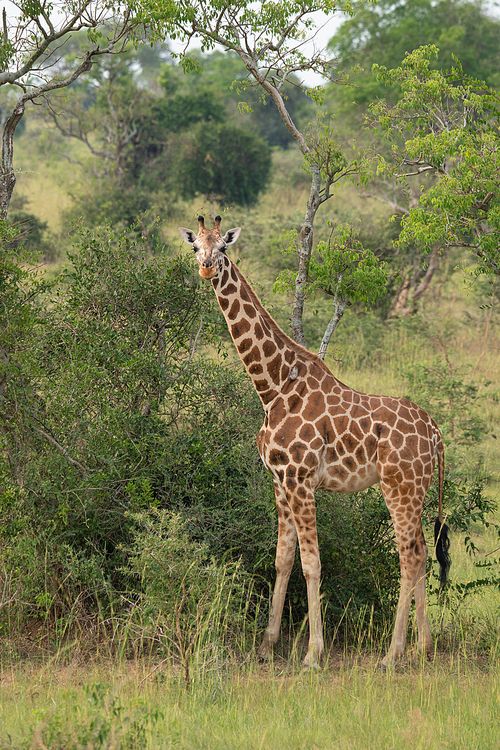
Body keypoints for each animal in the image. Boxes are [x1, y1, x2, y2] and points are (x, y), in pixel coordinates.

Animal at [179, 216, 450, 668]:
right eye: (196, 246)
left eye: (224, 249)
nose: (205, 268)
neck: (272, 388)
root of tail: (435, 432)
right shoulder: (279, 480)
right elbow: (282, 560)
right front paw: (268, 644)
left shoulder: (301, 479)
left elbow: (312, 564)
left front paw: (312, 654)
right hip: (418, 489)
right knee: (423, 552)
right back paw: (424, 647)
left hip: (399, 487)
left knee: (409, 557)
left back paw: (392, 654)